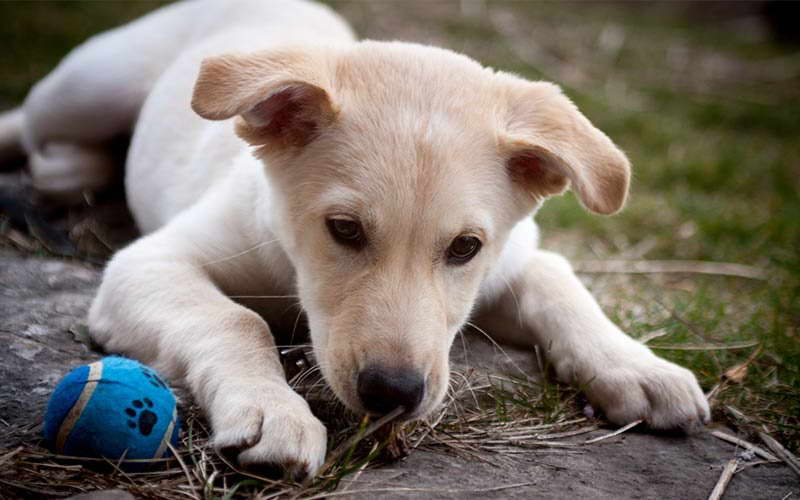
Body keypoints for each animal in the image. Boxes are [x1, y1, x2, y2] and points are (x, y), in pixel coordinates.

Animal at [0, 0, 708, 478]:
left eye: (465, 248)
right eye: (343, 230)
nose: (393, 396)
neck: (291, 268)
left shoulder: (516, 257)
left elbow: (561, 286)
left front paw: (635, 364)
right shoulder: (148, 262)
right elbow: (234, 320)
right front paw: (272, 410)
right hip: (89, 88)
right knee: (31, 120)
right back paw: (66, 165)